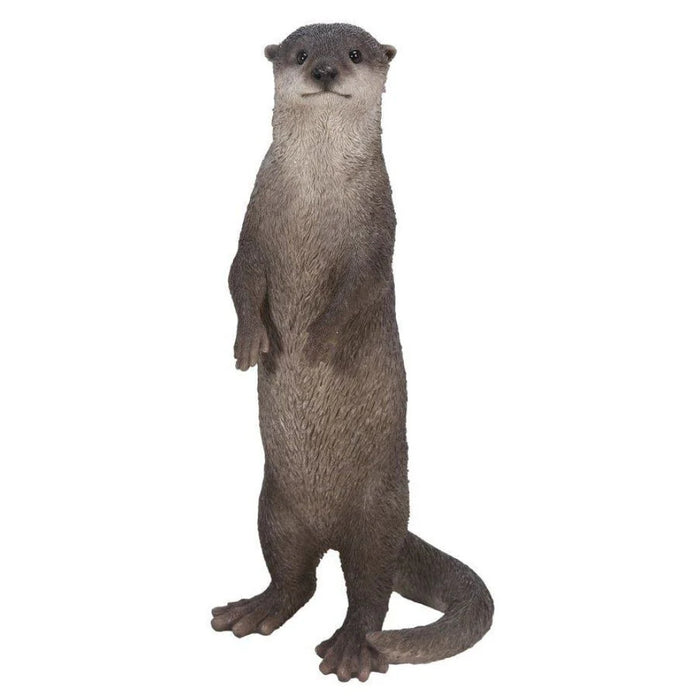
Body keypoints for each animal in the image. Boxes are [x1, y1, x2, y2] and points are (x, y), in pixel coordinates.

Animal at [211, 23, 493, 682]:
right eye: (300, 53)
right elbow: (238, 278)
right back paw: (257, 609)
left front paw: (315, 343)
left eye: (356, 53)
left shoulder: (376, 239)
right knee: (296, 578)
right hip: (274, 510)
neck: (314, 199)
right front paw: (251, 343)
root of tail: (333, 527)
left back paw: (352, 648)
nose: (324, 70)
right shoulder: (251, 227)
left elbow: (356, 293)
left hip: (378, 515)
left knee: (370, 589)